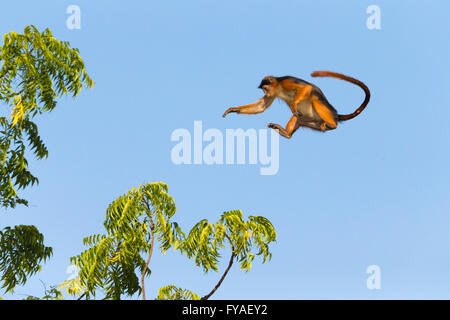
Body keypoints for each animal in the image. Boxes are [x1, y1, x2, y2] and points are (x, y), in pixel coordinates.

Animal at [221, 70, 370, 138]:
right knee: (298, 117)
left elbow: (308, 88)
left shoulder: (285, 82)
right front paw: (233, 110)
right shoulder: (274, 92)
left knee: (313, 99)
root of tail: (335, 115)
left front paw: (293, 104)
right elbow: (261, 107)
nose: (265, 91)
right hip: (313, 122)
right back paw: (287, 133)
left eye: (265, 88)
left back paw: (333, 124)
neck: (278, 86)